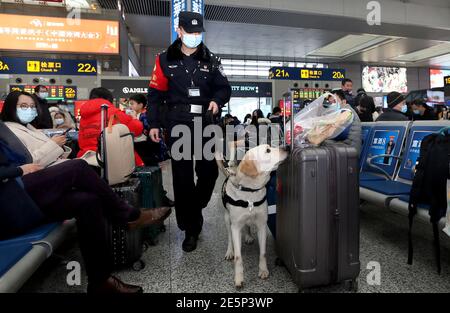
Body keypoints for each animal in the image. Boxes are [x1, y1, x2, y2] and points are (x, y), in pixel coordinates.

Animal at [216, 144, 286, 288]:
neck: (250, 192)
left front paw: (263, 270)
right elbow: (238, 257)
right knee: (230, 238)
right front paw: (238, 279)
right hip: (227, 220)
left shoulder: (262, 225)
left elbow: (263, 253)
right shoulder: (236, 227)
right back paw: (229, 251)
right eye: (268, 150)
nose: (287, 148)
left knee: (247, 226)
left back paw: (248, 236)